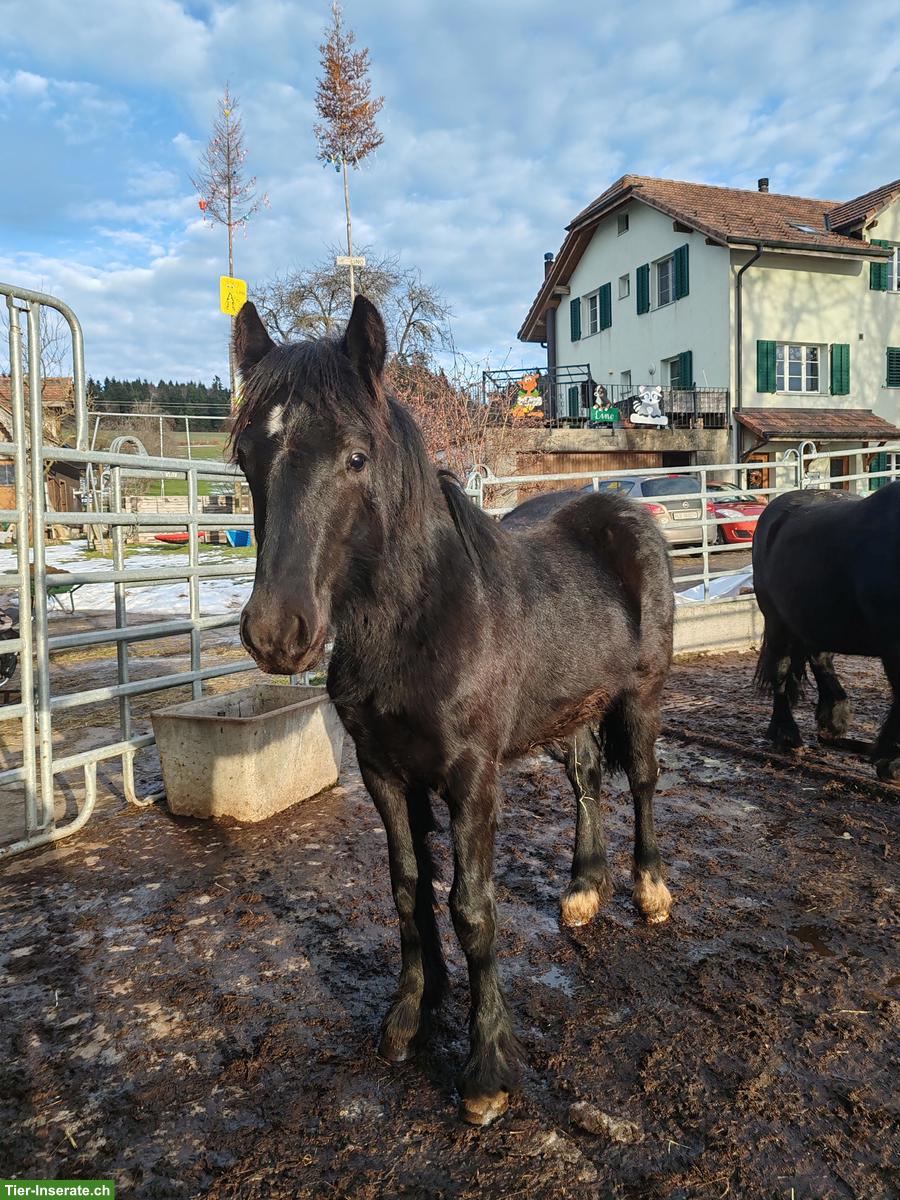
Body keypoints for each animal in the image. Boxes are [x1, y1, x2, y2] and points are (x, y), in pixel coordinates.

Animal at [232, 295, 675, 1126]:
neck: (423, 620)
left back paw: (650, 889)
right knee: (587, 780)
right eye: (246, 455)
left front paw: (488, 1068)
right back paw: (583, 890)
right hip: (567, 711)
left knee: (640, 781)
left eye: (355, 458)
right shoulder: (384, 772)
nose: (276, 633)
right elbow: (408, 891)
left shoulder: (473, 778)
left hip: (641, 697)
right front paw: (411, 1013)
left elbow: (472, 908)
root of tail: (624, 509)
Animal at [752, 483, 900, 781]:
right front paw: (891, 760)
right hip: (777, 621)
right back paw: (786, 734)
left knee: (820, 659)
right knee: (781, 671)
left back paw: (833, 719)